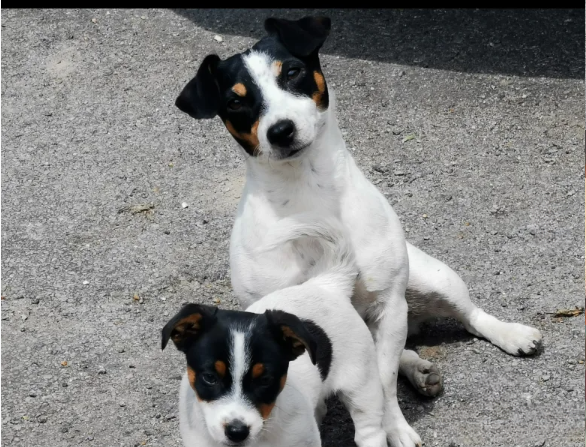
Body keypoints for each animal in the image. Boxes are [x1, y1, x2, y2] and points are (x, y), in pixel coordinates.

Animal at [175, 15, 544, 446]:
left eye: (293, 72)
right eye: (235, 101)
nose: (281, 130)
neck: (309, 193)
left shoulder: (388, 305)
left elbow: (382, 384)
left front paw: (395, 428)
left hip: (434, 280)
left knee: (469, 316)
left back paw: (511, 335)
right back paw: (419, 369)